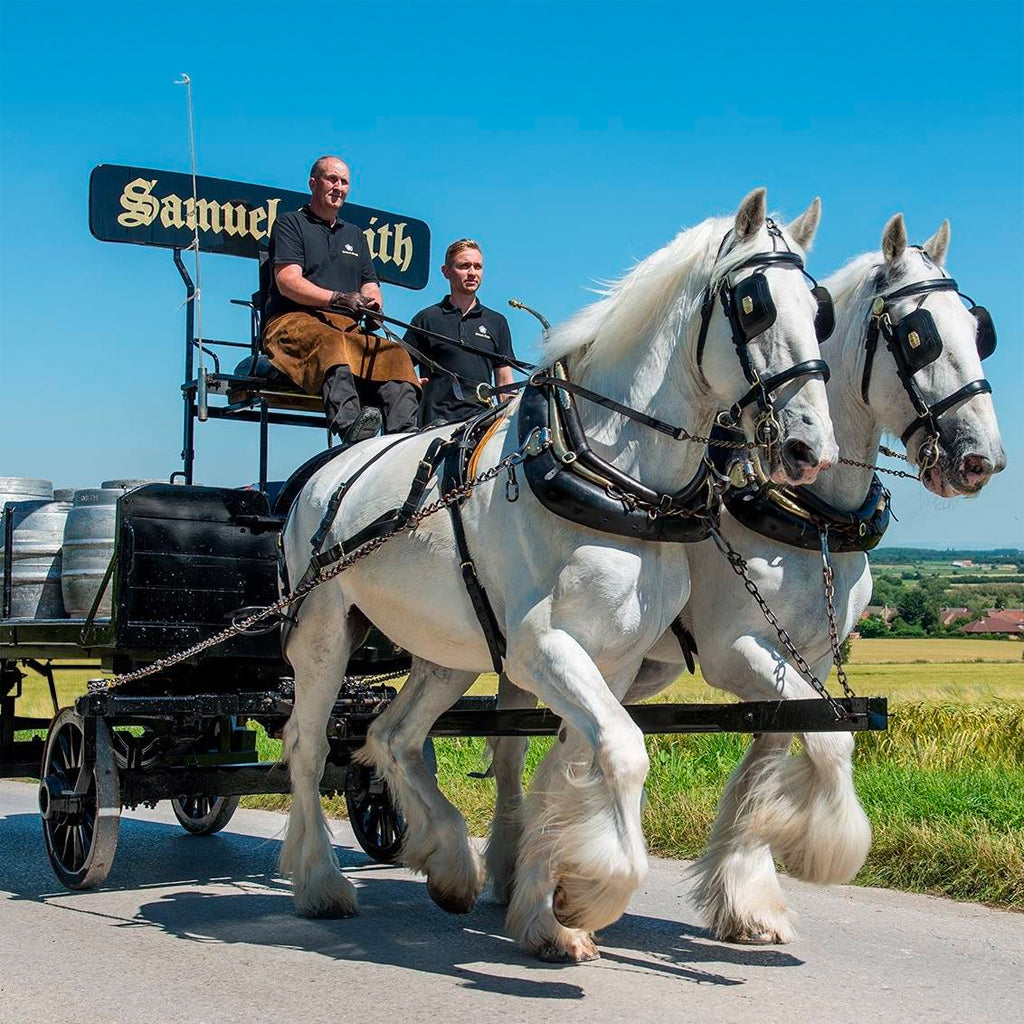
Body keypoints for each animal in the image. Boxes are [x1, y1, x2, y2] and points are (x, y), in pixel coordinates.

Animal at [276, 188, 835, 962]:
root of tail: (324, 470)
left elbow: (572, 770)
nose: (812, 446)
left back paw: (451, 861)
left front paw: (549, 910)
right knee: (306, 746)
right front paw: (589, 895)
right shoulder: (543, 649)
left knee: (391, 735)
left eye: (818, 310)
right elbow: (623, 754)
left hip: (451, 649)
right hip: (324, 634)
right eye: (753, 305)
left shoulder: (614, 659)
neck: (612, 472)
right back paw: (320, 882)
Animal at [489, 211, 1007, 946]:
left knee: (566, 750)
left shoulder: (803, 655)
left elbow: (779, 748)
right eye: (916, 335)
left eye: (978, 329)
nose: (980, 460)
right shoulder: (735, 650)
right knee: (508, 750)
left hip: (630, 664)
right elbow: (829, 739)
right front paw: (821, 845)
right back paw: (511, 873)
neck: (809, 512)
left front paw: (748, 889)